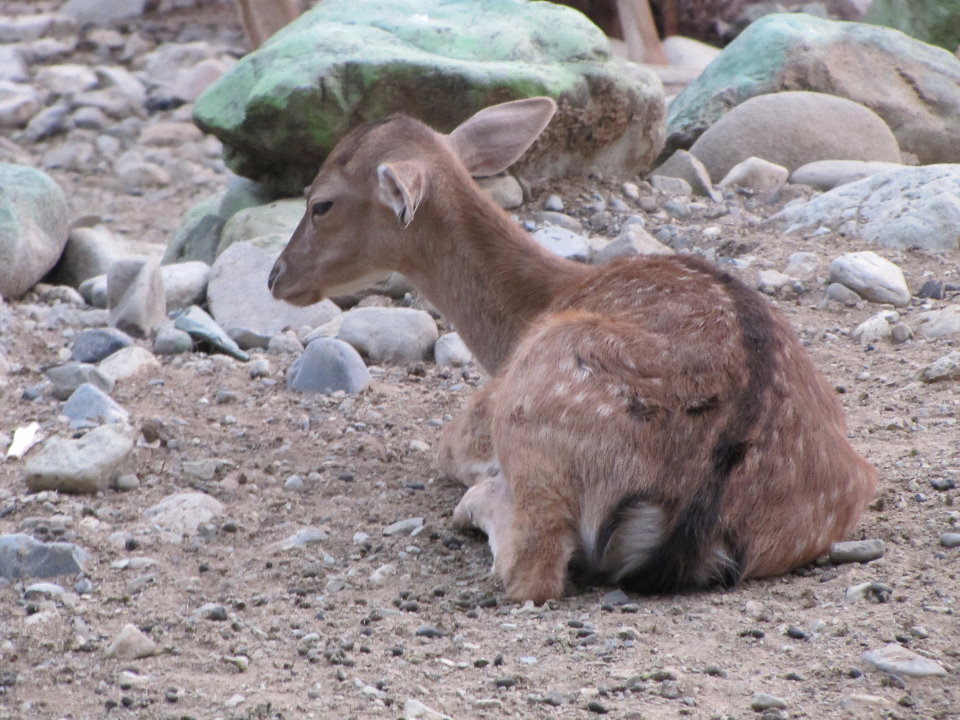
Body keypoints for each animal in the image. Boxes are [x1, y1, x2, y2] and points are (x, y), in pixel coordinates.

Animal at [268, 96, 878, 604]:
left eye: (320, 203)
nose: (276, 277)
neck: (533, 309)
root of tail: (699, 511)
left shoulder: (478, 414)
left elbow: (448, 451)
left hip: (533, 414)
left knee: (532, 571)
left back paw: (483, 502)